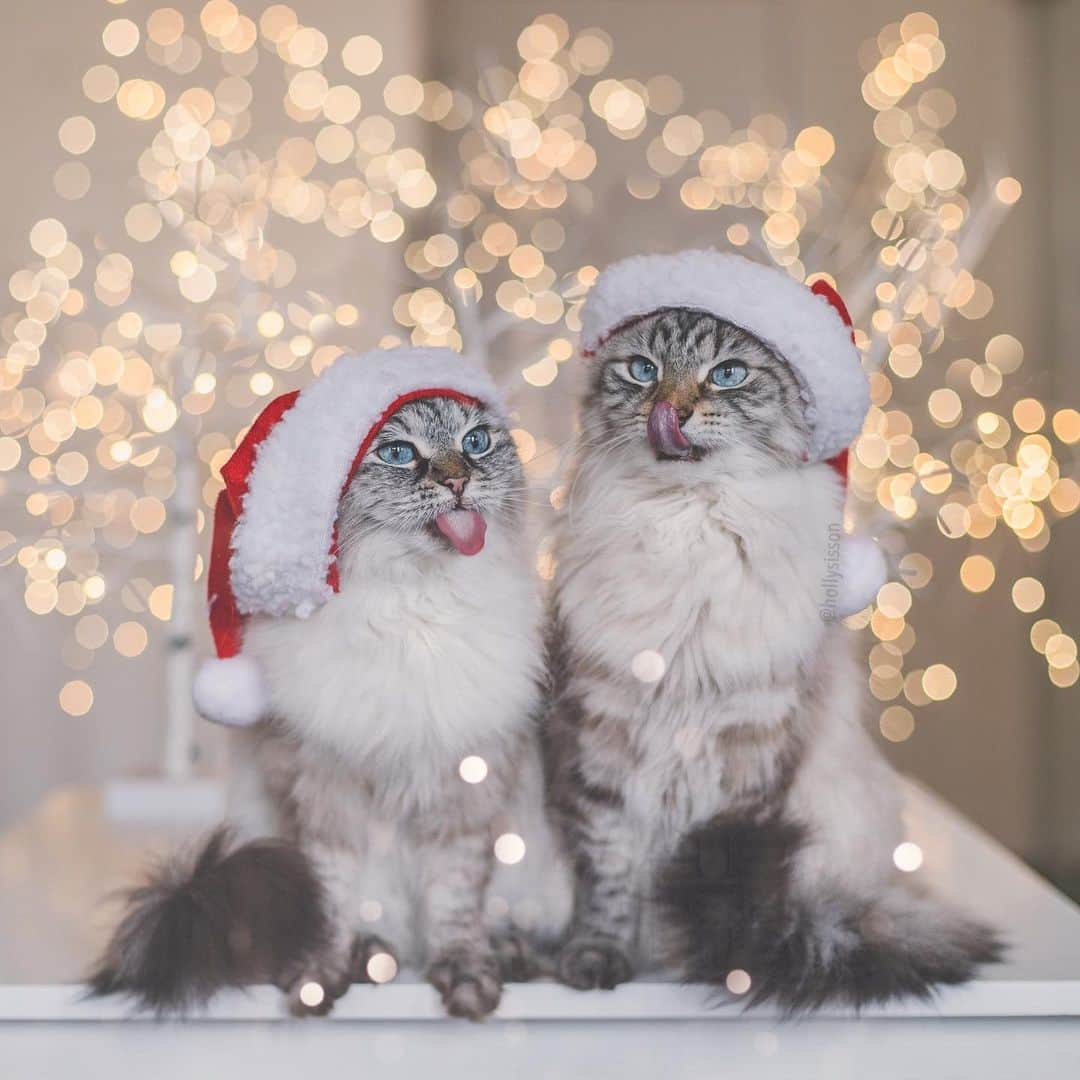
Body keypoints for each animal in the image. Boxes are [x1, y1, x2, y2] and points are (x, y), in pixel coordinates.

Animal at [90, 349, 574, 1015]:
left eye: (476, 443)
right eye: (397, 453)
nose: (458, 481)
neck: (412, 607)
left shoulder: (464, 789)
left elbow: (453, 907)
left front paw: (467, 977)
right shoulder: (326, 792)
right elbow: (332, 904)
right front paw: (320, 977)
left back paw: (502, 954)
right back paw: (373, 959)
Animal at [544, 248, 997, 1006]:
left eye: (728, 374)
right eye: (641, 369)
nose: (669, 411)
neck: (688, 528)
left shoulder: (750, 762)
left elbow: (722, 888)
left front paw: (708, 966)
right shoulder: (603, 740)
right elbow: (610, 881)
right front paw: (599, 961)